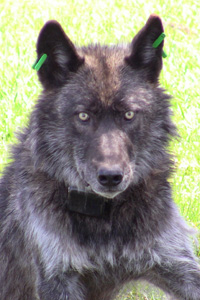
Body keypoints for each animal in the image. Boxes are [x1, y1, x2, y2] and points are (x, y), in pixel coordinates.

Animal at [0, 14, 200, 300]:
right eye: (83, 116)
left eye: (129, 115)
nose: (110, 177)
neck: (106, 218)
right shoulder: (57, 278)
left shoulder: (176, 262)